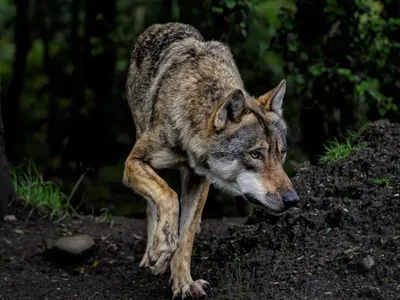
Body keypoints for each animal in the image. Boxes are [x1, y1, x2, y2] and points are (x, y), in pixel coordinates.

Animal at [123, 22, 298, 298]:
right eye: (255, 154)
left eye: (281, 154)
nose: (293, 200)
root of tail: (160, 26)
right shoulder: (133, 162)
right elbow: (168, 196)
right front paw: (161, 249)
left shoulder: (199, 180)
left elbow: (186, 236)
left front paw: (183, 283)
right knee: (152, 204)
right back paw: (153, 252)